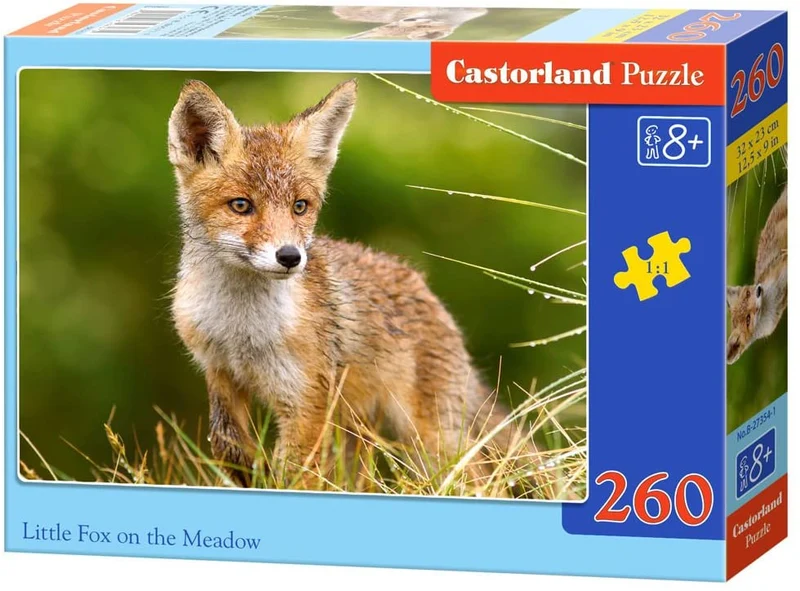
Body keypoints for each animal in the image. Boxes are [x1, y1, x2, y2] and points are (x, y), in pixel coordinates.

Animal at [167, 79, 527, 488]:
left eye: (300, 206)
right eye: (241, 205)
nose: (290, 257)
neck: (243, 330)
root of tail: (423, 285)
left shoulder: (306, 400)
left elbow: (295, 475)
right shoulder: (220, 375)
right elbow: (228, 445)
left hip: (428, 437)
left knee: (478, 477)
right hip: (359, 434)